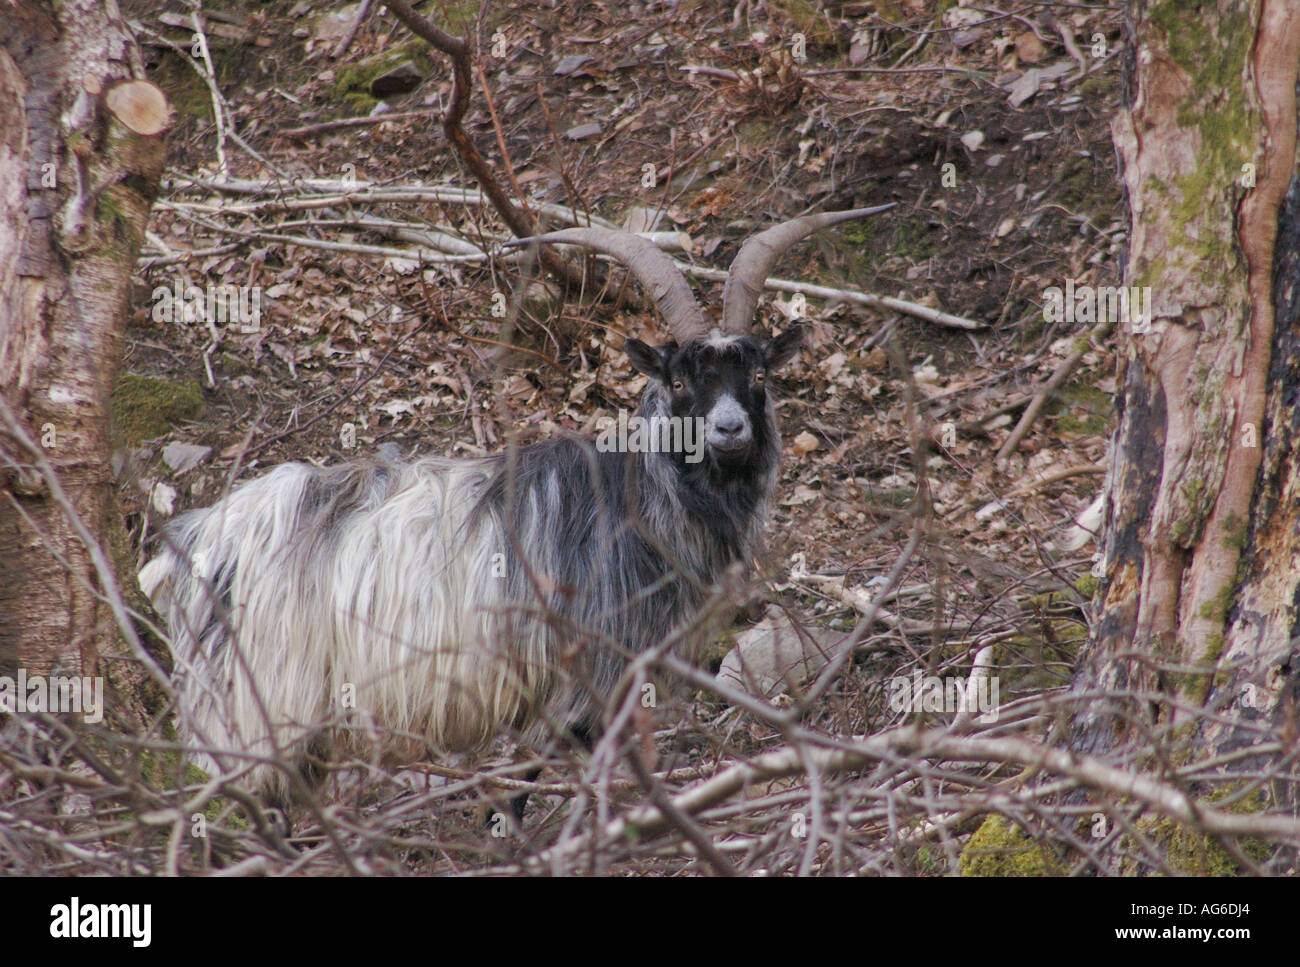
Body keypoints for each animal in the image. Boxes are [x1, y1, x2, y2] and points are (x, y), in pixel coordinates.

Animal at [139, 205, 892, 798]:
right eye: (680, 381)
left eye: (758, 373)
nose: (731, 429)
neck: (639, 499)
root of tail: (196, 540)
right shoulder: (581, 683)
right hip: (253, 713)